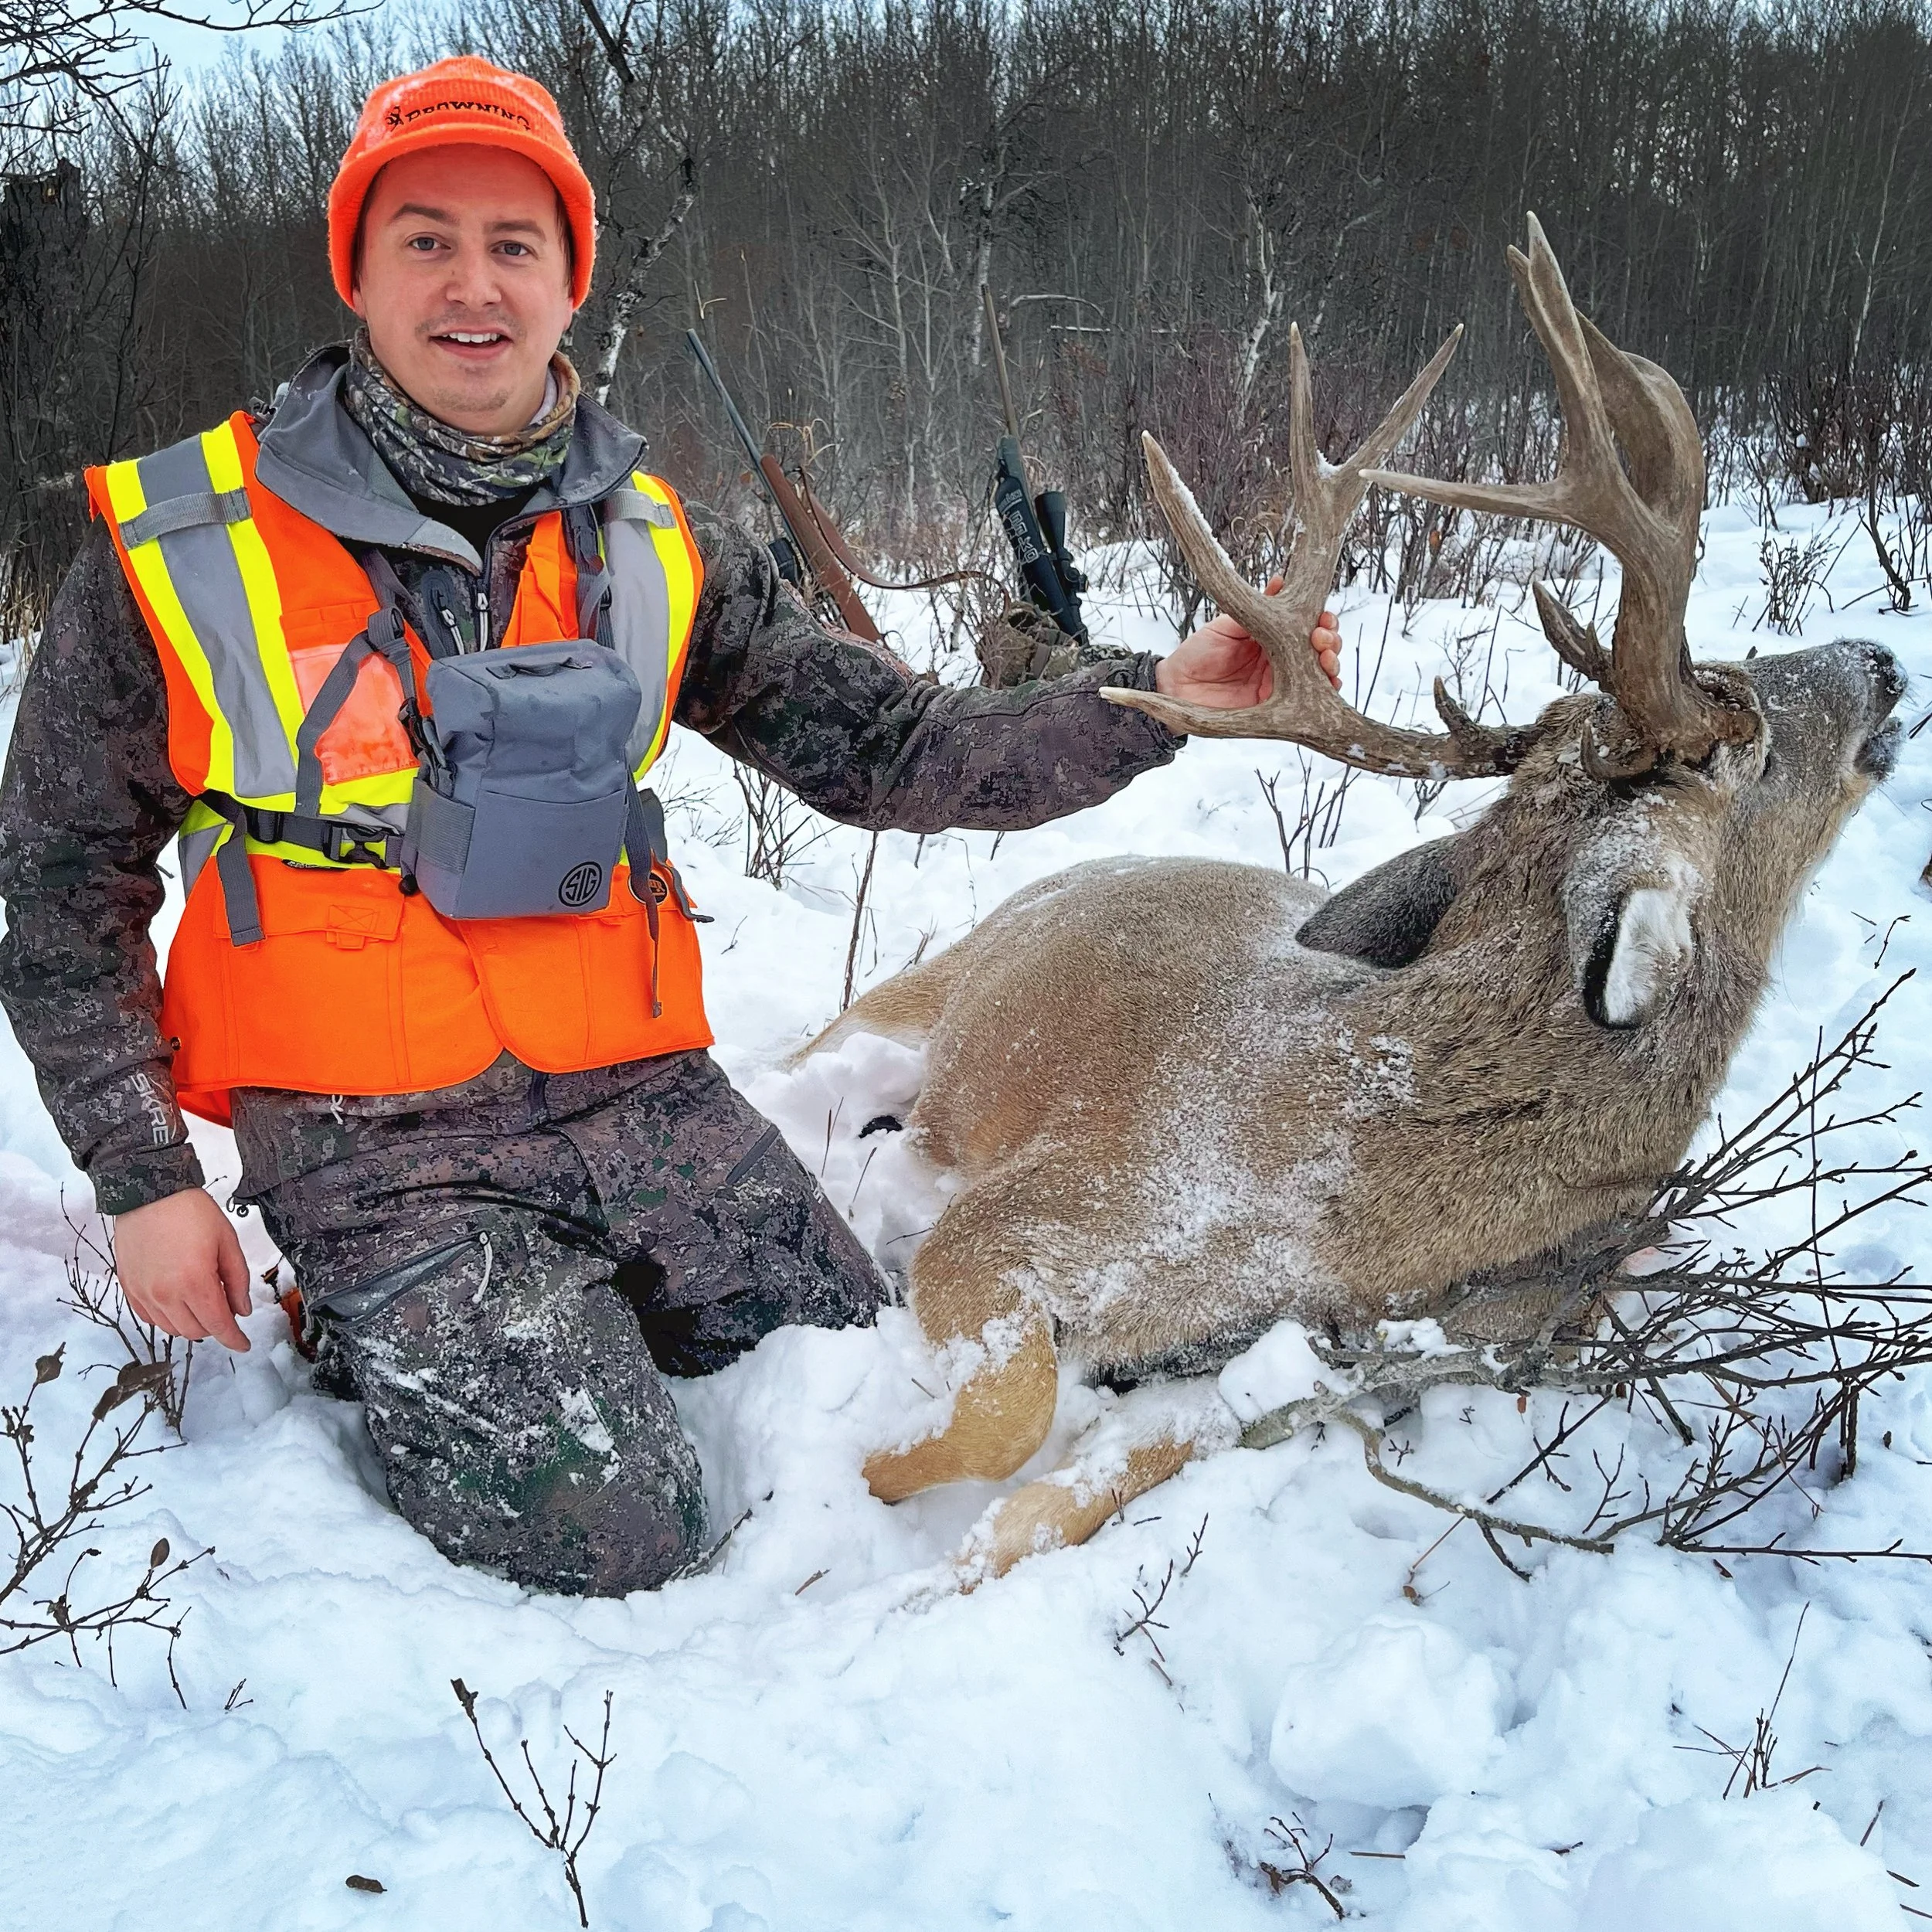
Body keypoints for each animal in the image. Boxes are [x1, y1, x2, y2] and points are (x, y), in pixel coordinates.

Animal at [798, 219, 1906, 1580]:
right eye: (1746, 741)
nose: (1881, 658)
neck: (1367, 1183)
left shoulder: (1300, 1363)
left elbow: (1075, 1483)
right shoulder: (1037, 1212)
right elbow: (998, 1417)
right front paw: (856, 1501)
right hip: (912, 994)